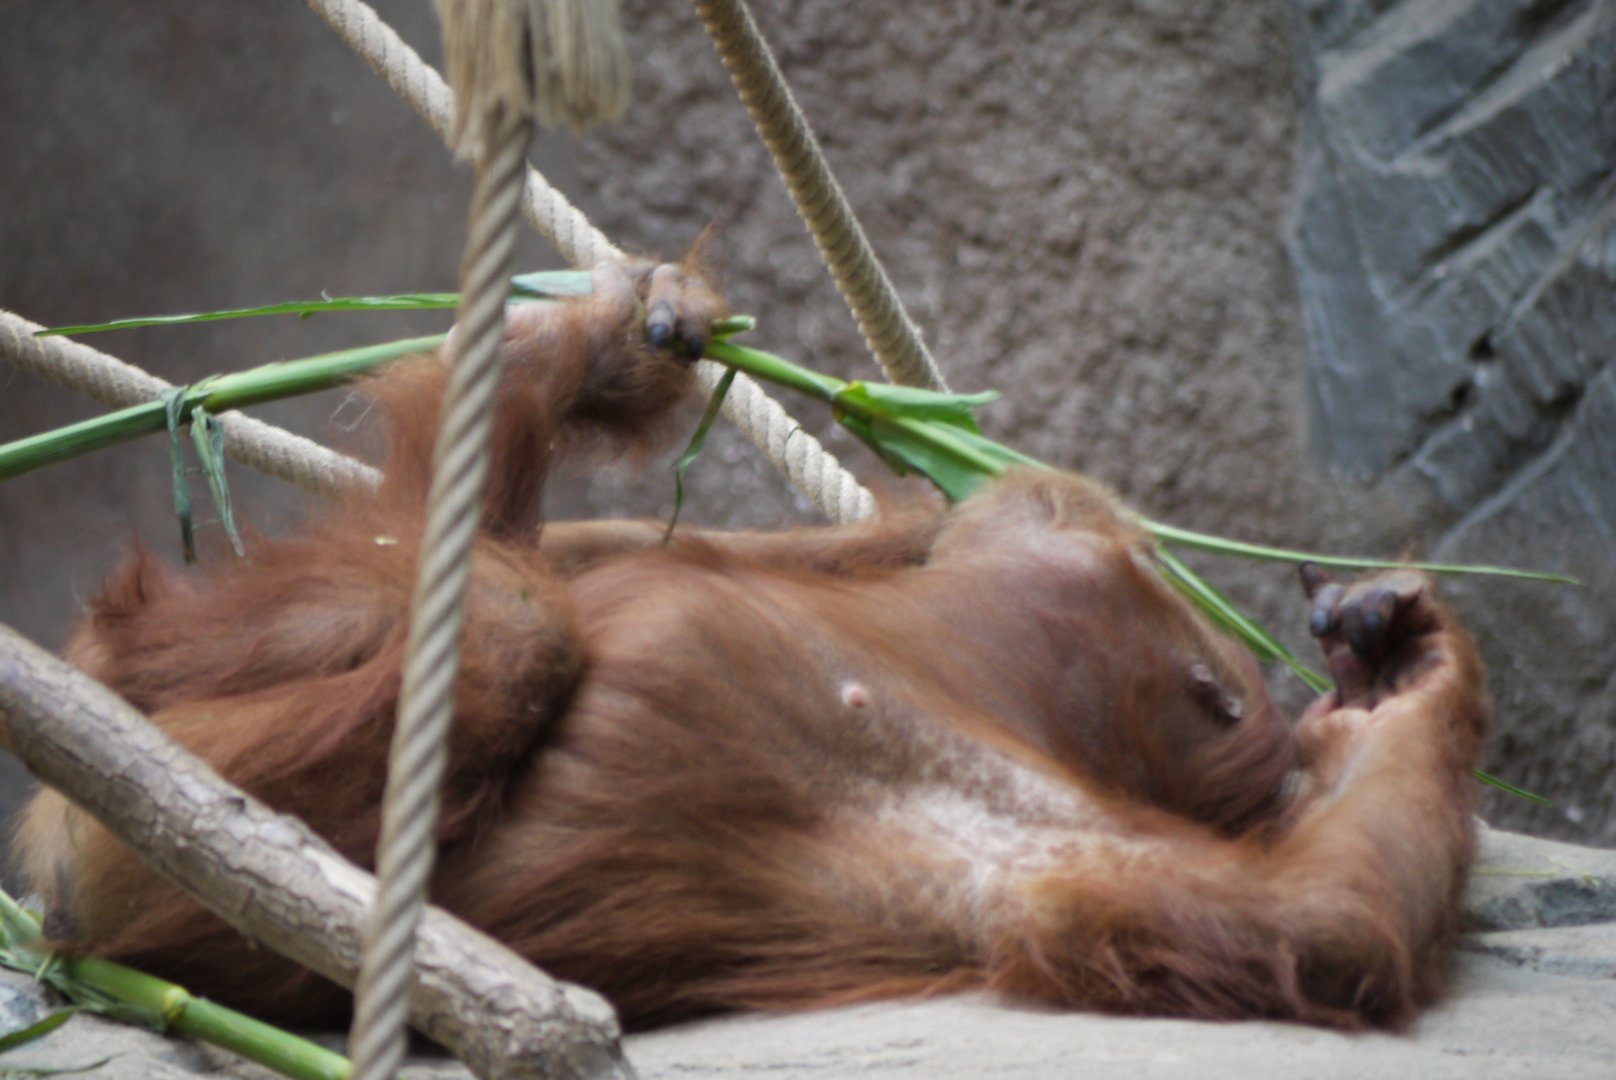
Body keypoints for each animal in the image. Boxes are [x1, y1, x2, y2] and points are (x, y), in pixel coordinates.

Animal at [13, 256, 1487, 1031]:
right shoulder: (961, 555)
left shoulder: (996, 821)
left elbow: (1322, 923)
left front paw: (1410, 679)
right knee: (516, 581)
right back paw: (587, 354)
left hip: (132, 861)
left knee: (508, 626)